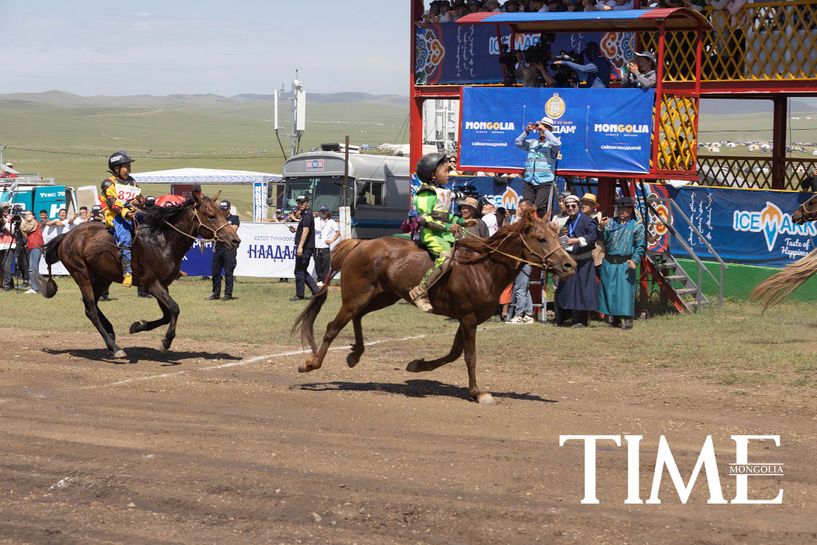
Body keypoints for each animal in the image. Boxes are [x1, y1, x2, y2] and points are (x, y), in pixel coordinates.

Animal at [41, 185, 239, 360]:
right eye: (211, 216)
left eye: (224, 215)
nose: (235, 240)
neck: (162, 240)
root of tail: (66, 236)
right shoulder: (152, 283)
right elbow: (174, 308)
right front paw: (166, 342)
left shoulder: (163, 284)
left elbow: (167, 314)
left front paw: (137, 326)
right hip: (82, 275)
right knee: (91, 310)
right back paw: (115, 348)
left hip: (102, 278)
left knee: (91, 305)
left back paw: (111, 335)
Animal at [294, 210, 572, 402]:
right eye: (541, 238)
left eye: (557, 235)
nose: (570, 265)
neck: (484, 268)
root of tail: (360, 243)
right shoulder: (468, 319)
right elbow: (469, 356)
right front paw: (477, 392)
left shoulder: (466, 319)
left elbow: (454, 354)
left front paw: (418, 365)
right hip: (356, 297)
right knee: (333, 326)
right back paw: (311, 363)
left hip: (381, 297)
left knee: (357, 318)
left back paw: (355, 353)